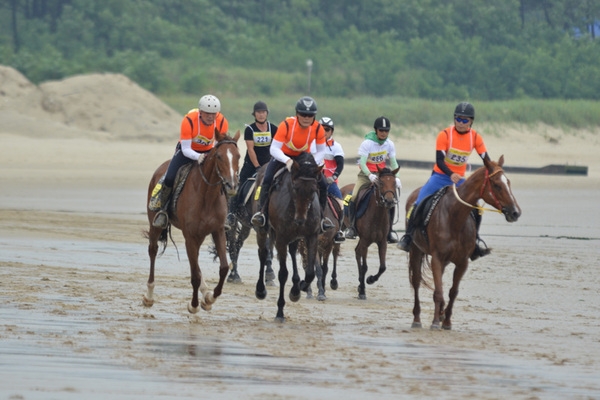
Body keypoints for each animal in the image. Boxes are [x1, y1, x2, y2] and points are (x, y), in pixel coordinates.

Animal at [142, 130, 239, 312]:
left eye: (238, 155)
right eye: (219, 156)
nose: (231, 186)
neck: (207, 196)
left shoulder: (218, 231)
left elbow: (223, 267)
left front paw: (210, 298)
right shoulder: (190, 236)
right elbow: (194, 276)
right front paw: (193, 305)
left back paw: (205, 292)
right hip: (155, 224)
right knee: (153, 250)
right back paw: (149, 296)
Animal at [255, 153, 326, 322]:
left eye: (314, 189)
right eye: (295, 187)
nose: (300, 220)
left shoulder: (312, 236)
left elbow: (310, 272)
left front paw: (300, 287)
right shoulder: (281, 237)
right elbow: (283, 274)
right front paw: (280, 312)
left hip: (295, 236)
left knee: (292, 252)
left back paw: (295, 287)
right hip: (263, 229)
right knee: (262, 254)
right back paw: (260, 290)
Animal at [342, 166, 398, 300]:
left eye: (394, 183)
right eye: (381, 183)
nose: (389, 201)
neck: (376, 215)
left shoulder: (382, 242)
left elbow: (382, 267)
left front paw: (370, 280)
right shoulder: (365, 241)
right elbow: (365, 267)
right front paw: (362, 291)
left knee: (357, 252)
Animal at [408, 155, 520, 330]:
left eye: (508, 182)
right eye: (497, 185)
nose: (515, 212)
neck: (454, 216)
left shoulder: (462, 262)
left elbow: (453, 292)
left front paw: (446, 322)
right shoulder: (437, 258)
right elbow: (438, 291)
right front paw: (435, 322)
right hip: (416, 250)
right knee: (416, 281)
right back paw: (417, 319)